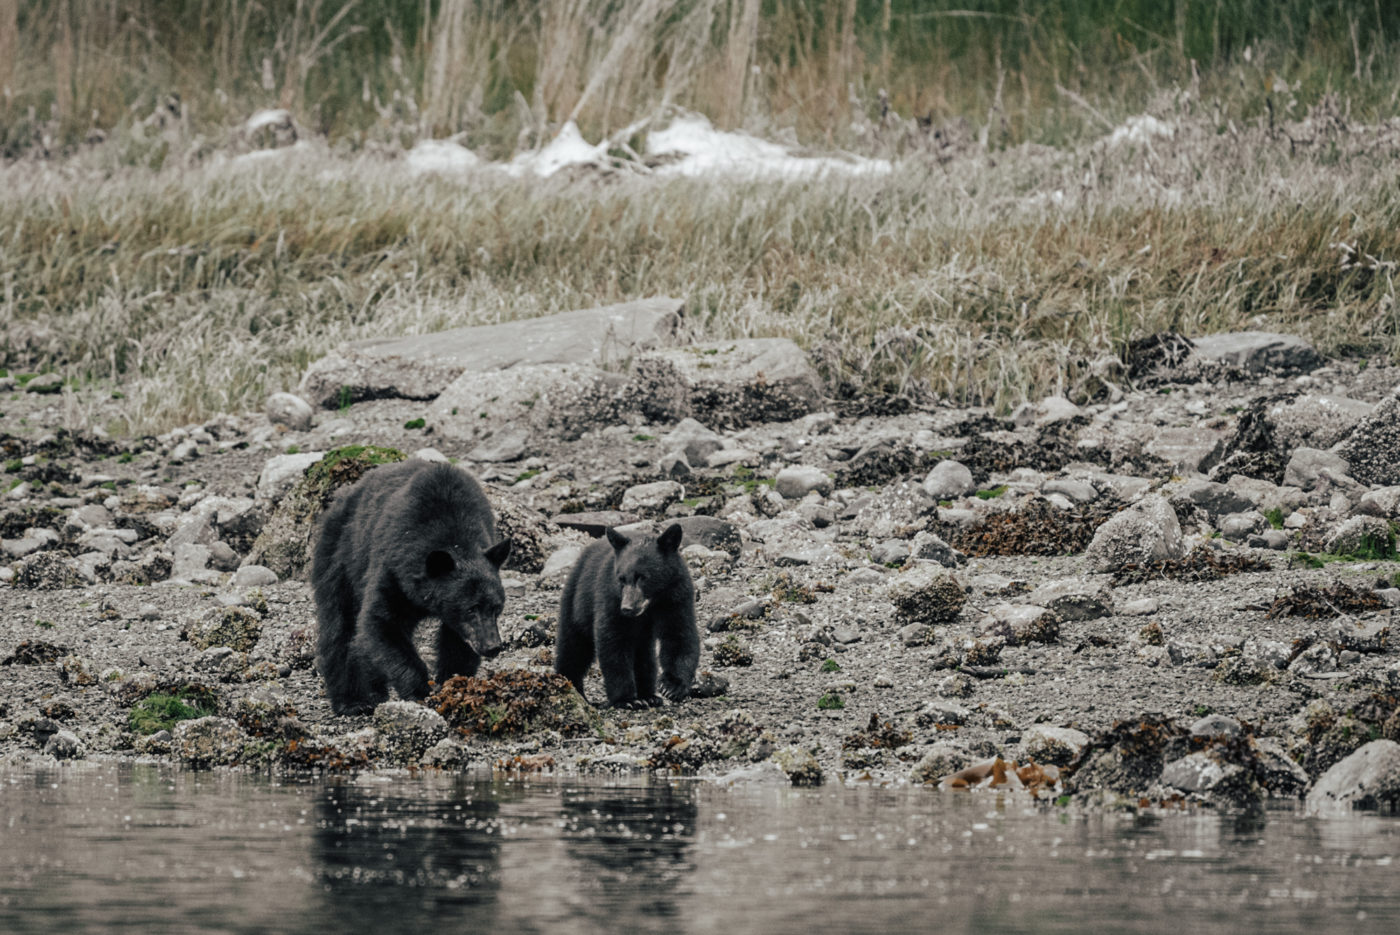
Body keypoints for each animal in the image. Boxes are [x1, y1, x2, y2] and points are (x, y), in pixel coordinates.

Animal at [312, 459, 515, 716]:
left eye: (496, 608)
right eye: (471, 608)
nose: (492, 646)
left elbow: (456, 641)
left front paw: (454, 685)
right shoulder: (393, 569)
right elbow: (381, 622)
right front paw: (420, 691)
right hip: (341, 553)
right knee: (340, 624)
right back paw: (353, 700)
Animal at [548, 526, 697, 708]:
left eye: (642, 577)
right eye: (621, 578)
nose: (627, 608)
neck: (652, 604)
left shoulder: (676, 595)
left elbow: (679, 634)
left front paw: (672, 686)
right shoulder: (611, 596)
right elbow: (613, 640)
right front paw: (626, 699)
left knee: (644, 653)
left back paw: (648, 696)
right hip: (576, 600)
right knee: (573, 645)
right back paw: (573, 689)